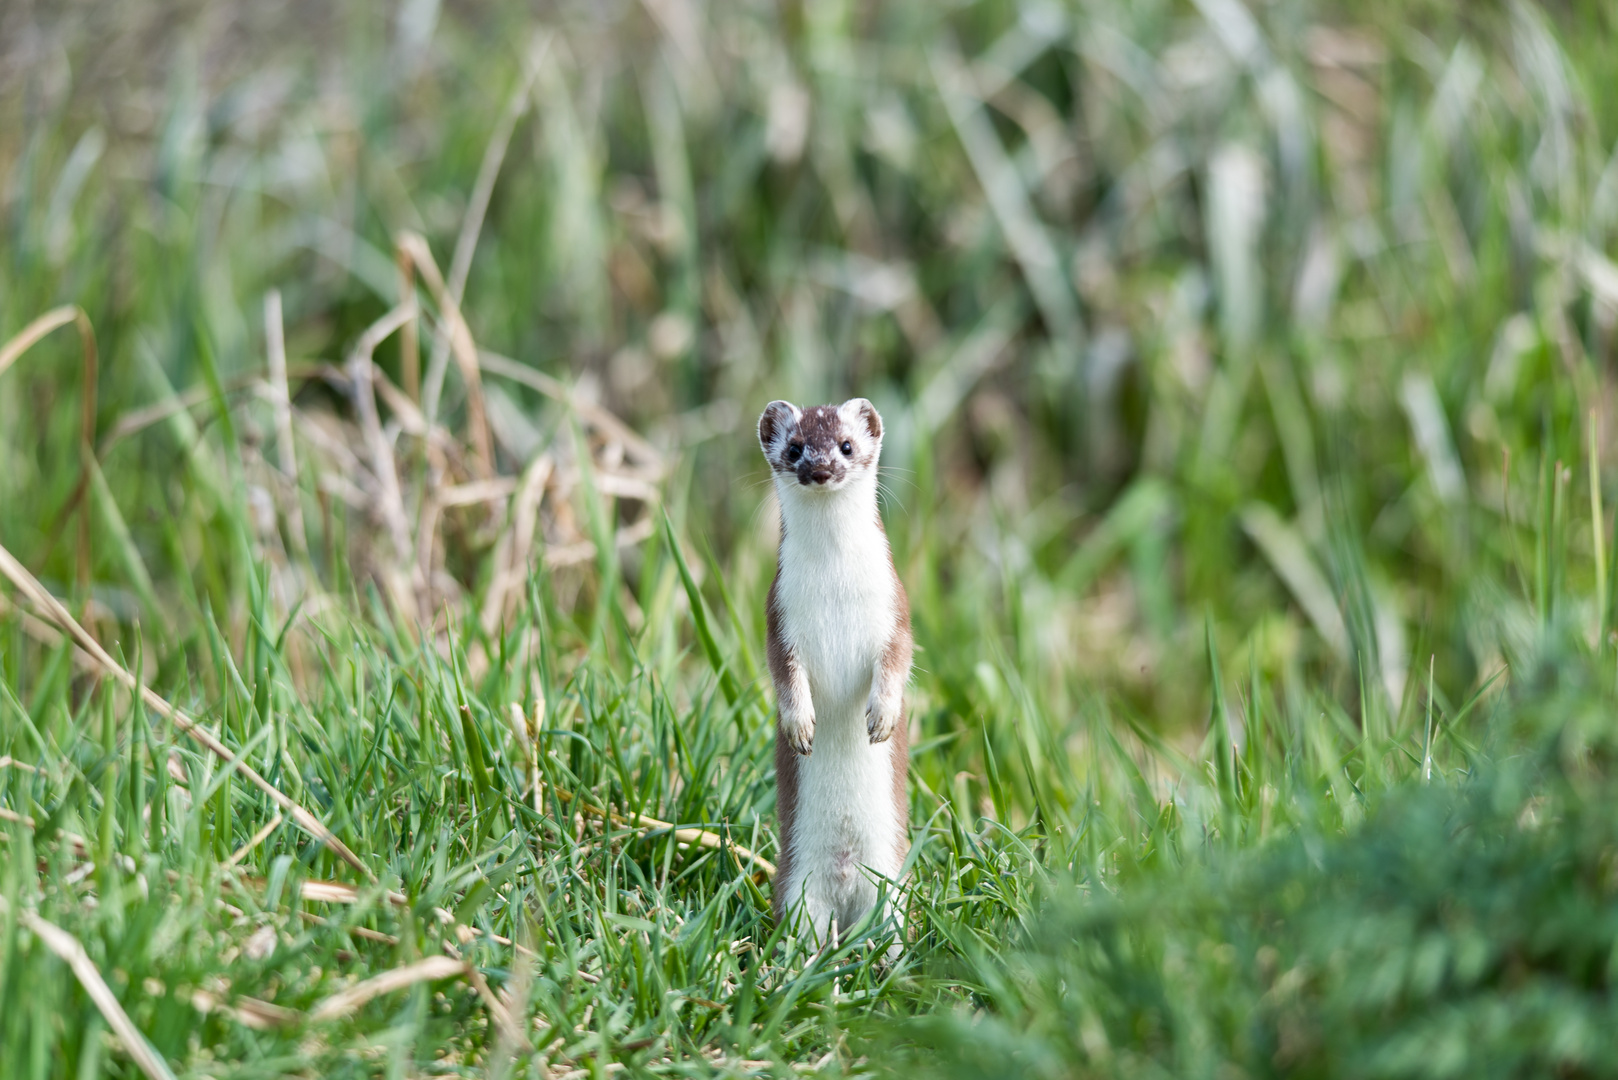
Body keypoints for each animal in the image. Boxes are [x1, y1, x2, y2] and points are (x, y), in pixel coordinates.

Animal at [757, 396, 912, 945]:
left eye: (846, 445)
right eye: (795, 447)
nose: (821, 468)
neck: (834, 586)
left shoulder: (895, 608)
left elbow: (897, 659)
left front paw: (881, 717)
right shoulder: (778, 617)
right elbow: (783, 674)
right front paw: (801, 725)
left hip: (893, 887)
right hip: (798, 890)